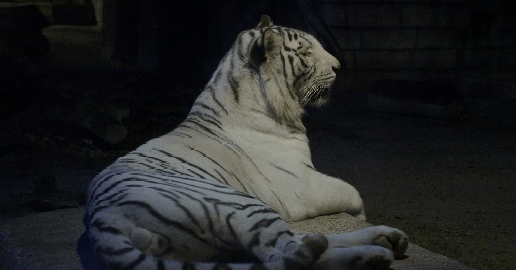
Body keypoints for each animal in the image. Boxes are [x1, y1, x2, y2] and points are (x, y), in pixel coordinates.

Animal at [84, 15, 408, 270]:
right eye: (306, 51)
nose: (339, 66)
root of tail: (102, 218)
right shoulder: (301, 187)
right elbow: (353, 193)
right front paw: (362, 215)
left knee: (296, 245)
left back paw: (388, 239)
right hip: (243, 205)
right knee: (284, 256)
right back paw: (373, 254)